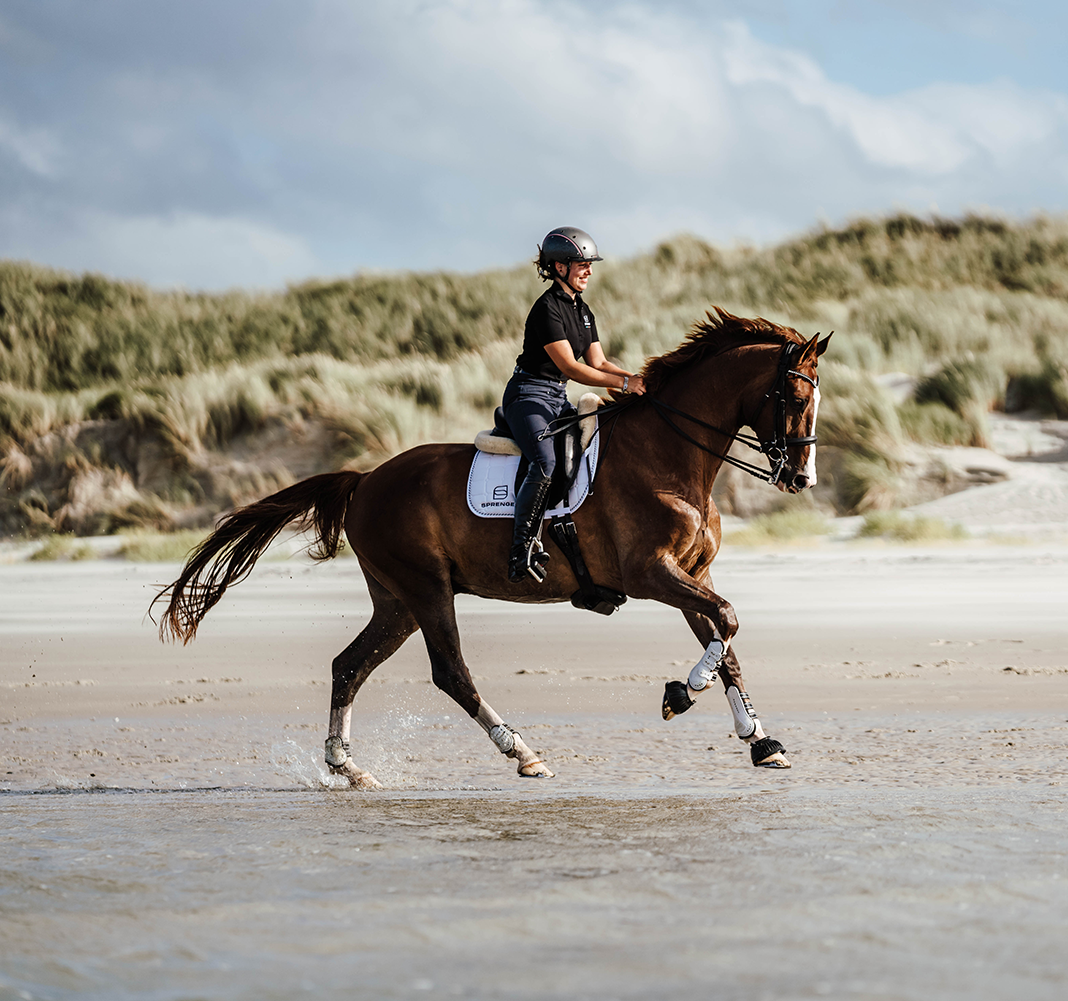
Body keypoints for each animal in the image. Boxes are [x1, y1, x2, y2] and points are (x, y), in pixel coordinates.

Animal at [156, 306, 830, 788]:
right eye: (796, 398)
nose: (801, 478)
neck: (668, 455)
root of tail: (366, 479)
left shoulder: (693, 571)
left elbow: (726, 639)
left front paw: (761, 742)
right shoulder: (650, 573)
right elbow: (728, 623)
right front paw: (680, 695)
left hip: (397, 601)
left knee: (349, 666)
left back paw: (347, 767)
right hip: (426, 588)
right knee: (450, 672)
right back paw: (524, 753)